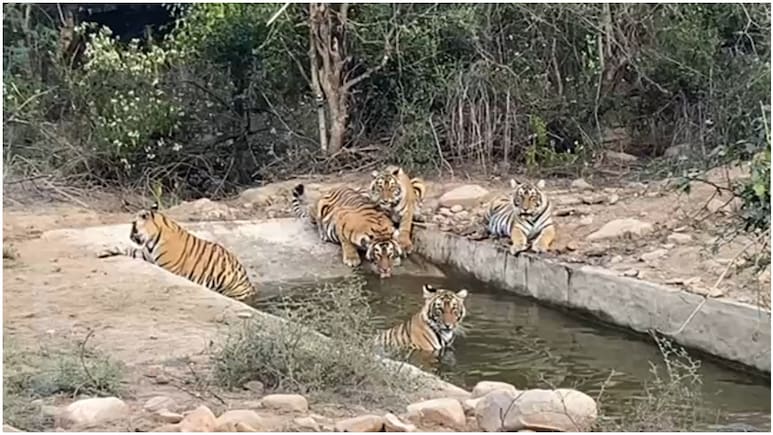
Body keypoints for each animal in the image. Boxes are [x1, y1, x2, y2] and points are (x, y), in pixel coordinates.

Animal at [97, 204, 257, 301]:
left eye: (133, 225)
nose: (130, 236)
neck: (152, 239)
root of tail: (250, 286)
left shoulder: (165, 266)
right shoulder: (146, 255)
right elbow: (125, 248)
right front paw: (103, 251)